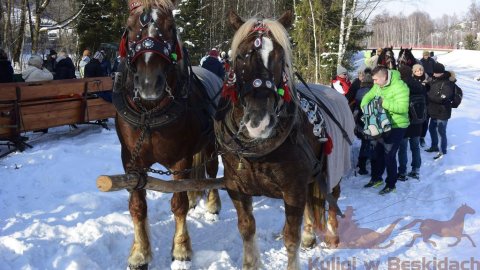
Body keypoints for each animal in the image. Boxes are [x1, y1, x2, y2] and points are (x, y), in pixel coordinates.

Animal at [113, 1, 222, 268]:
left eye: (171, 27)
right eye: (129, 28)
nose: (149, 83)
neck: (149, 114)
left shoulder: (179, 160)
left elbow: (178, 204)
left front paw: (181, 250)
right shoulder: (131, 163)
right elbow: (137, 206)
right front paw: (140, 253)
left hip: (211, 145)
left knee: (211, 172)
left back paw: (212, 206)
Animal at [216, 11, 354, 270]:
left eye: (279, 57)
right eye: (240, 56)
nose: (259, 120)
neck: (258, 151)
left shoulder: (293, 190)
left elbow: (291, 237)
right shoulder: (236, 188)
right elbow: (247, 229)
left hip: (333, 168)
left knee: (332, 197)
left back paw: (332, 235)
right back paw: (310, 234)